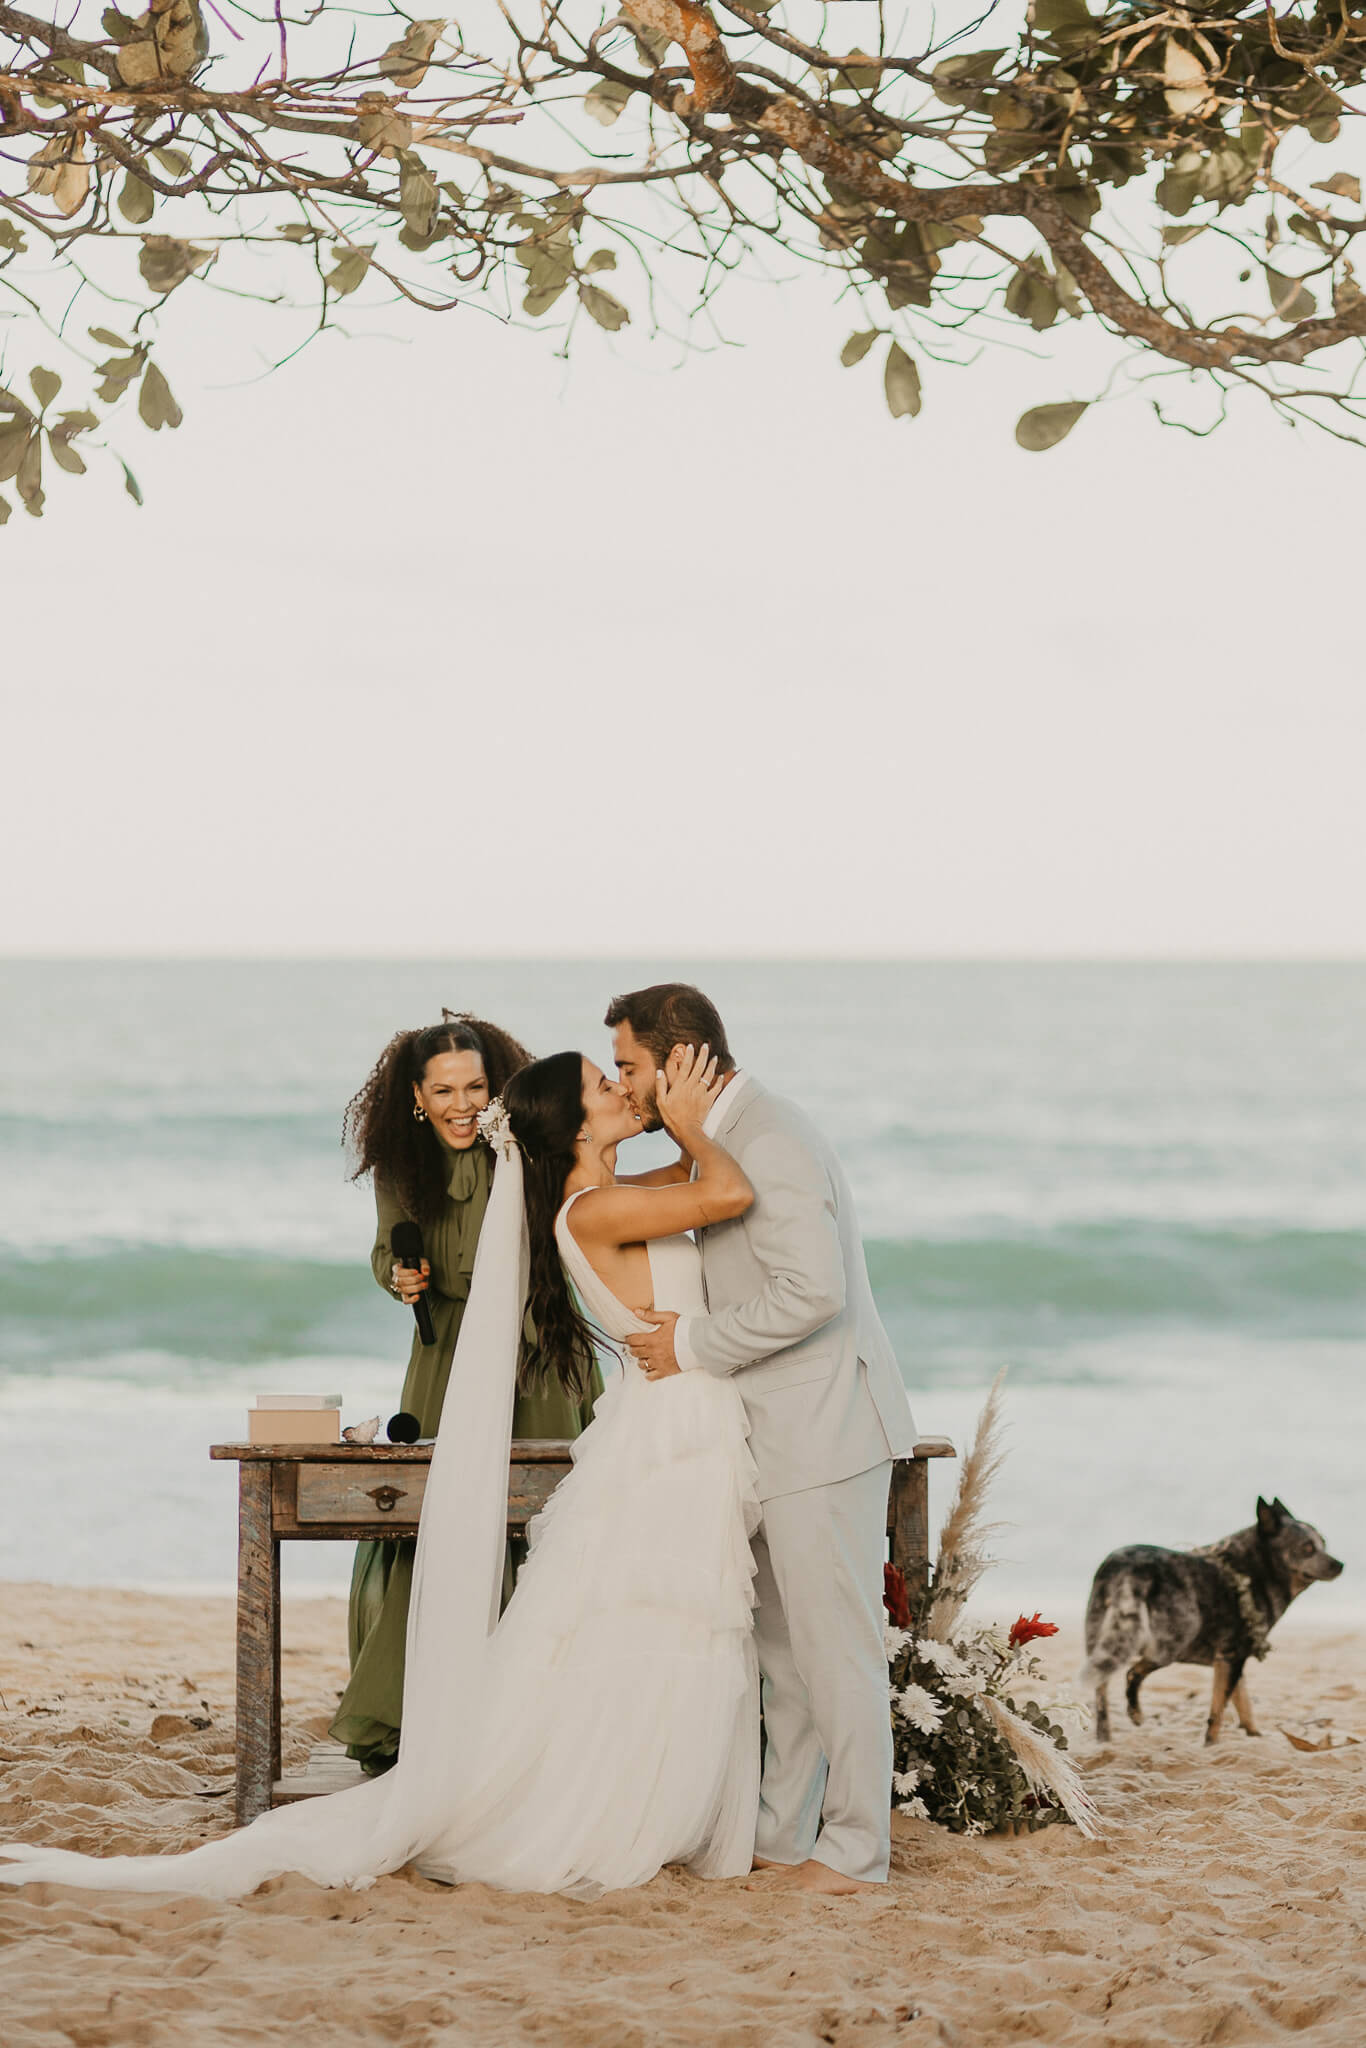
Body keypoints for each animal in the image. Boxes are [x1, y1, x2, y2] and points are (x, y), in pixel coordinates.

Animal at [1089, 1499, 1343, 1753]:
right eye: (1307, 1548)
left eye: (1323, 1543)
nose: (1339, 1564)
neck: (1254, 1572)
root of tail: (1131, 1569)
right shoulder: (1231, 1657)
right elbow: (1219, 1709)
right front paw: (1211, 1744)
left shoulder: (1232, 1661)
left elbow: (1243, 1700)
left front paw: (1254, 1735)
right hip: (1172, 1642)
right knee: (1133, 1673)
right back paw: (1135, 1713)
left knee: (1101, 1693)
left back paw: (1104, 1738)